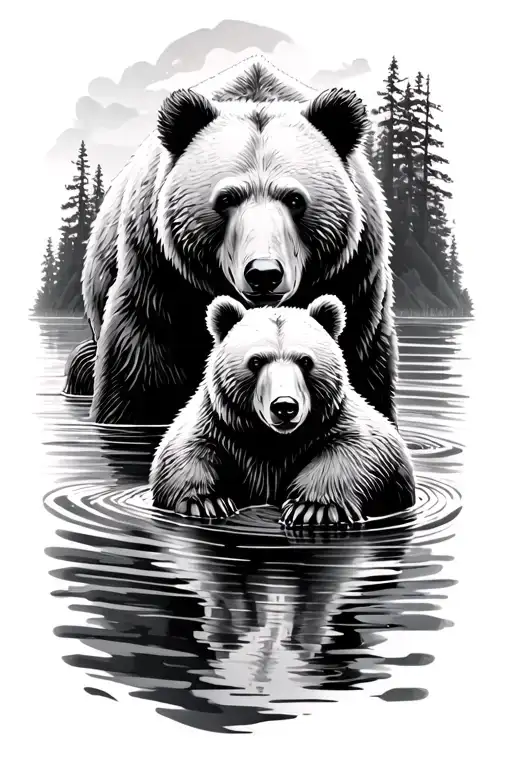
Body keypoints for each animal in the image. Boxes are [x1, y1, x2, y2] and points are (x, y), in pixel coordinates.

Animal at [65, 55, 398, 428]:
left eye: (295, 198)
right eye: (226, 198)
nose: (264, 274)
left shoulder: (354, 280)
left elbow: (360, 368)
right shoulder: (158, 275)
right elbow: (140, 376)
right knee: (82, 364)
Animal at [150, 295, 415, 527]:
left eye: (306, 361)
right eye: (256, 361)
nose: (285, 406)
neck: (274, 441)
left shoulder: (335, 423)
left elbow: (355, 451)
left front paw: (313, 508)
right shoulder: (221, 427)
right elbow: (185, 451)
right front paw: (206, 501)